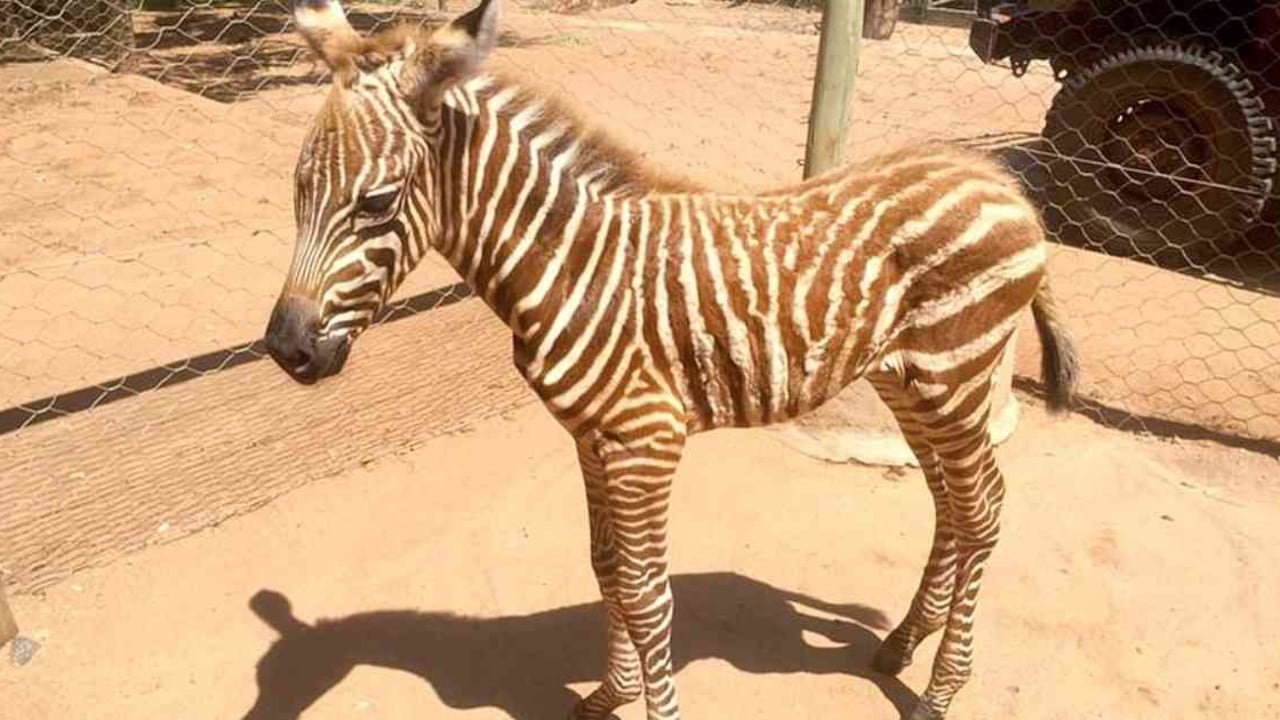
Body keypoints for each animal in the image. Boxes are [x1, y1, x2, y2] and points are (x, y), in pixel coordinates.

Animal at [262, 0, 1079, 718]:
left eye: (376, 202)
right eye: (299, 187)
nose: (286, 350)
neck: (574, 264)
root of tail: (999, 182)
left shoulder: (646, 440)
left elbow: (649, 595)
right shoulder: (592, 436)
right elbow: (608, 569)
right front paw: (609, 695)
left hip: (955, 373)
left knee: (982, 510)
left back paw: (941, 691)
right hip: (910, 381)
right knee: (950, 505)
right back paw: (903, 643)